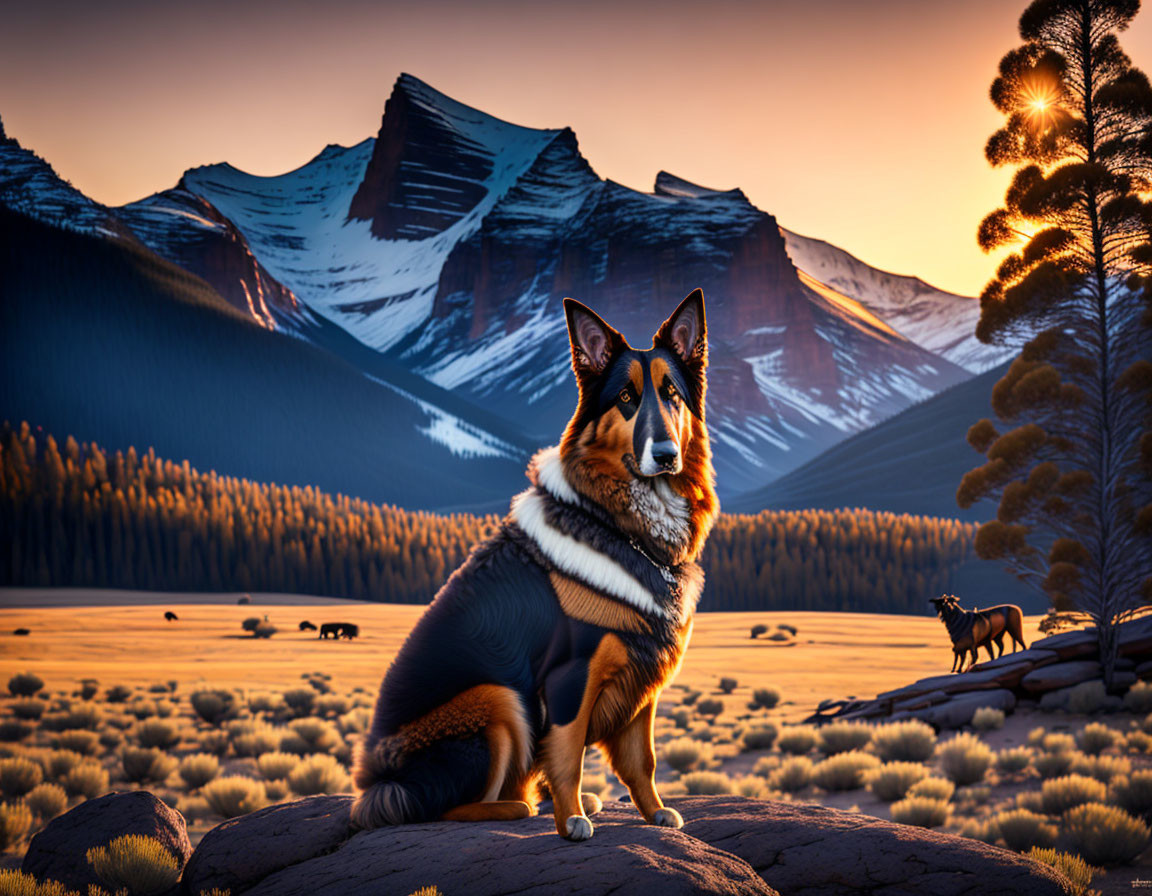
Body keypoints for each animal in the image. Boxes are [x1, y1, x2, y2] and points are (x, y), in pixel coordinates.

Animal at [347, 291, 718, 838]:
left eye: (672, 393)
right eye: (626, 399)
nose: (667, 454)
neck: (618, 523)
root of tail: (376, 782)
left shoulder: (643, 673)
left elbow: (641, 760)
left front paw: (654, 812)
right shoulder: (570, 676)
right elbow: (566, 755)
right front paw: (571, 821)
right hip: (496, 698)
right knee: (437, 806)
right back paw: (515, 809)